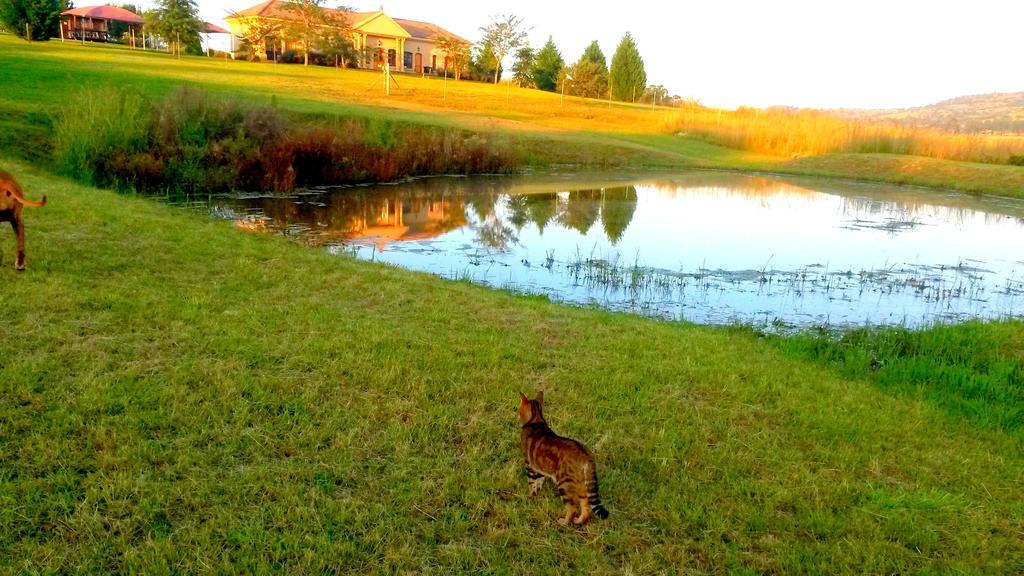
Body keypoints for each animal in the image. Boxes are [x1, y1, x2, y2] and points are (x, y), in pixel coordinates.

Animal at [520, 389, 606, 524]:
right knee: (586, 504)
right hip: (581, 484)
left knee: (572, 507)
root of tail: (587, 456)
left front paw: (530, 496)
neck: (536, 420)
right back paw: (579, 521)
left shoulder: (529, 464)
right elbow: (539, 481)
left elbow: (532, 483)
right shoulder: (539, 468)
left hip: (564, 484)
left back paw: (564, 522)